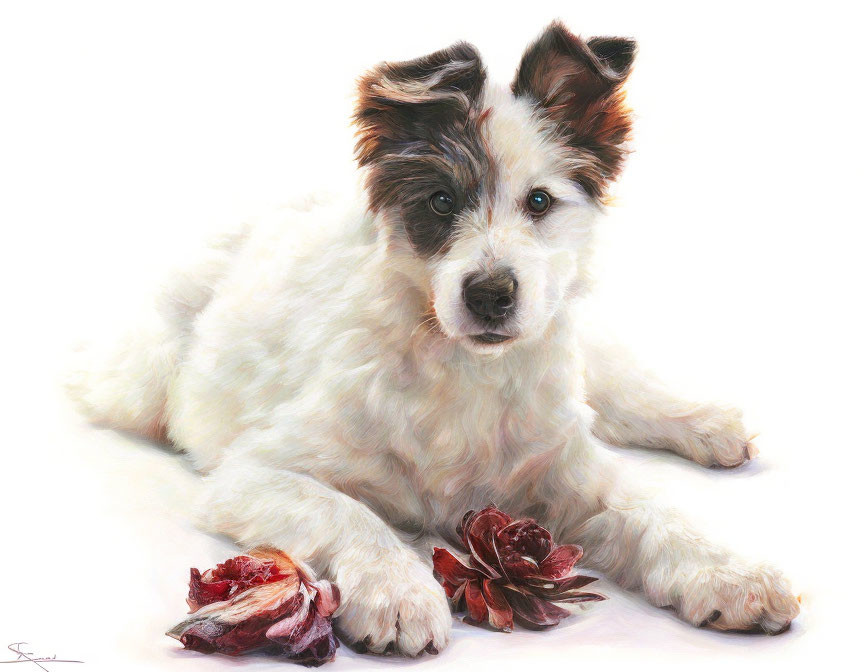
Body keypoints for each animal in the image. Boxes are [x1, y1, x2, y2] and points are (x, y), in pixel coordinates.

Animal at [69, 22, 804, 656]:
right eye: (441, 202)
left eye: (540, 203)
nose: (491, 294)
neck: (464, 368)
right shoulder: (255, 474)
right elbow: (349, 513)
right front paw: (397, 590)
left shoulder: (566, 463)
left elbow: (651, 505)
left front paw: (730, 572)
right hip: (145, 379)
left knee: (617, 388)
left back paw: (706, 424)